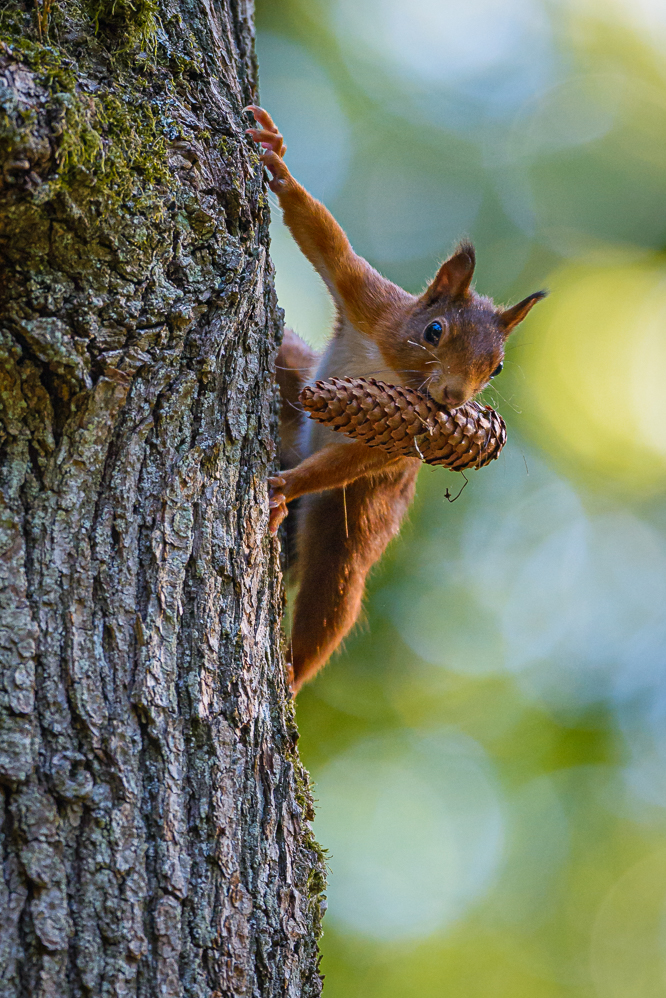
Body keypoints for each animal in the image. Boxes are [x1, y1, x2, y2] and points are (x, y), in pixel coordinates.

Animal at [245, 105, 544, 692]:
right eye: (434, 330)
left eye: (496, 367)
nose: (452, 397)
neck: (396, 372)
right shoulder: (371, 302)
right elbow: (323, 238)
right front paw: (278, 161)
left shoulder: (404, 435)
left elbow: (359, 456)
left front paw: (285, 486)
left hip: (359, 519)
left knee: (334, 590)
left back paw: (291, 675)